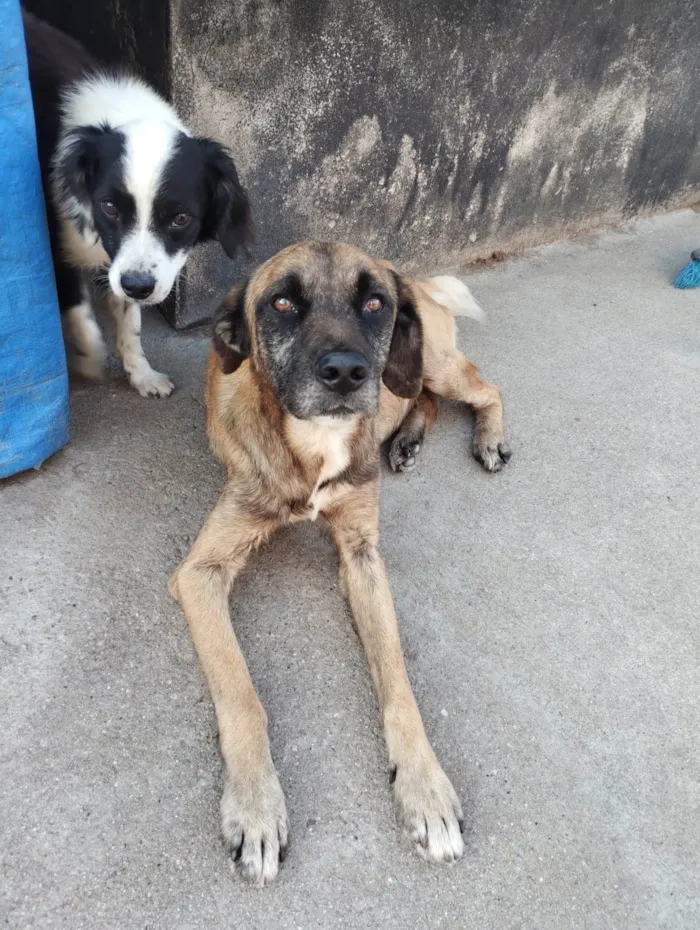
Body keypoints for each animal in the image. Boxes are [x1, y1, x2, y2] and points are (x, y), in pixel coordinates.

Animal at [23, 10, 252, 396]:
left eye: (180, 218)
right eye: (109, 207)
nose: (139, 287)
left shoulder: (122, 266)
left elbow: (130, 324)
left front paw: (142, 374)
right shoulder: (53, 241)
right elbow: (76, 304)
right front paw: (85, 355)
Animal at [170, 239, 508, 884]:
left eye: (374, 303)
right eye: (281, 303)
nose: (349, 374)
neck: (313, 443)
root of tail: (417, 280)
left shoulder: (362, 557)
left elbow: (398, 681)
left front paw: (426, 789)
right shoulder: (199, 574)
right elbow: (242, 695)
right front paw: (256, 807)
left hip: (430, 361)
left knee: (482, 386)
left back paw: (485, 436)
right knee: (424, 398)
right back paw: (408, 438)